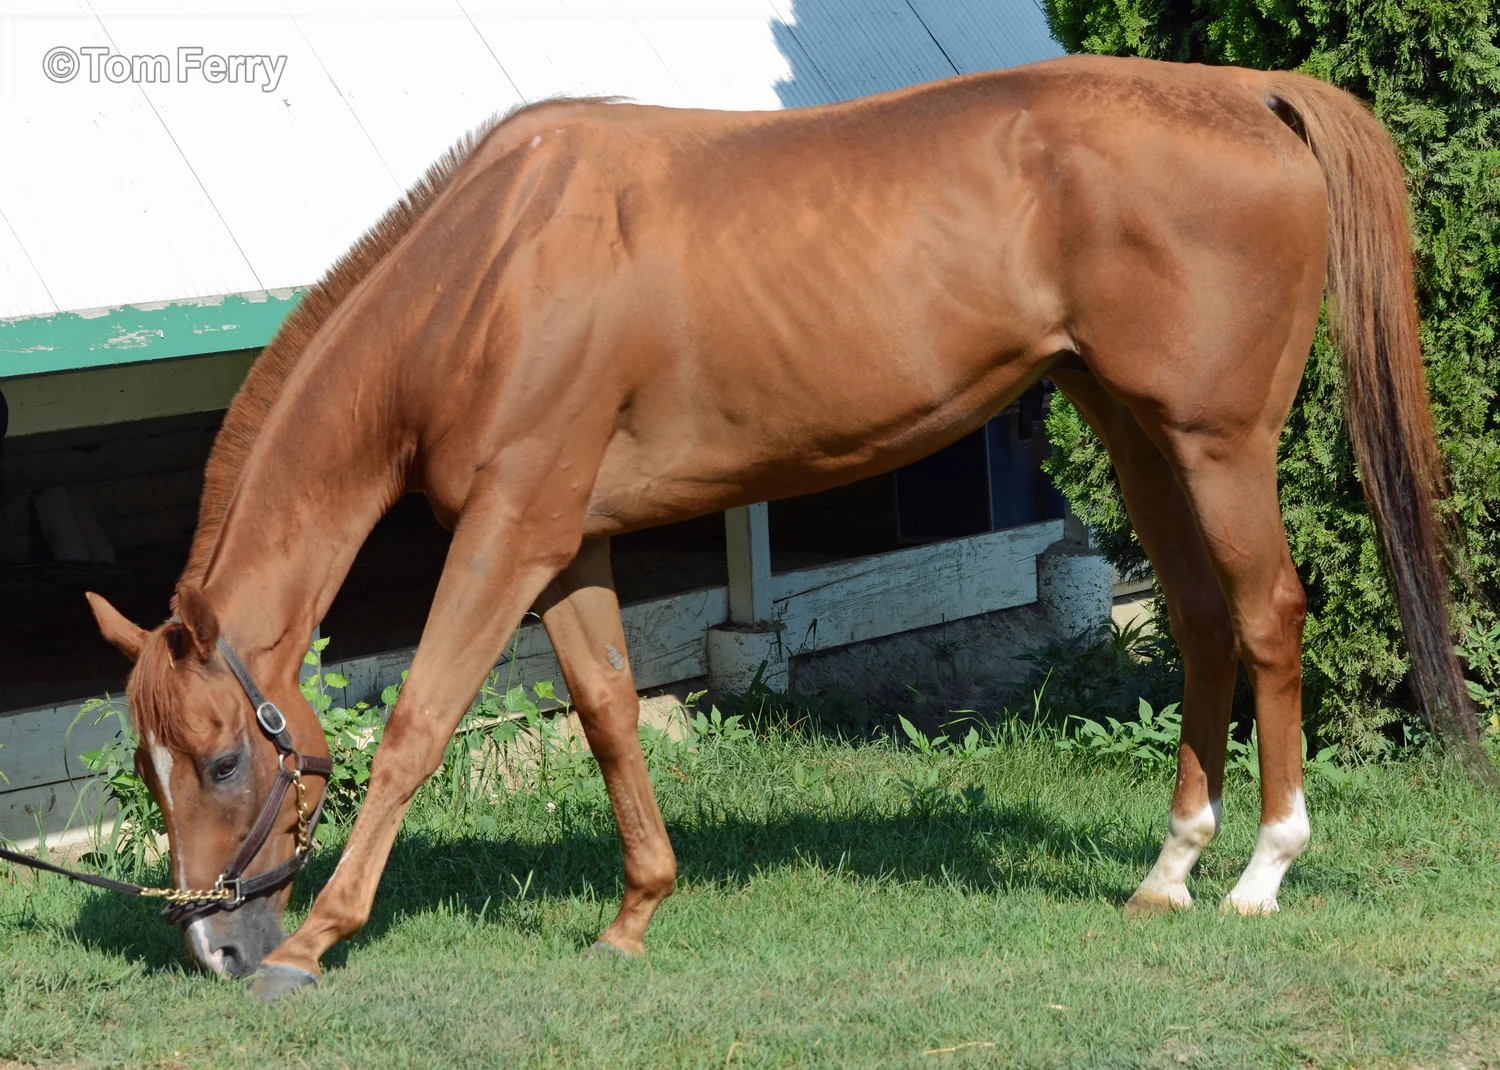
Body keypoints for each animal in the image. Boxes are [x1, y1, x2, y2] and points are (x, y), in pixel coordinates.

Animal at [83, 53, 1483, 1002]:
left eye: (221, 757)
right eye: (150, 771)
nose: (211, 940)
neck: (490, 272)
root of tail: (1250, 95)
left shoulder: (506, 534)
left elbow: (420, 720)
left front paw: (323, 936)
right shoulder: (568, 544)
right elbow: (608, 712)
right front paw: (635, 911)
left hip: (1219, 443)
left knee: (1265, 615)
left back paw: (1261, 869)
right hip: (1137, 433)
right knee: (1198, 620)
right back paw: (1170, 868)